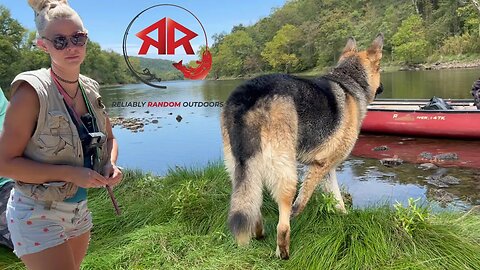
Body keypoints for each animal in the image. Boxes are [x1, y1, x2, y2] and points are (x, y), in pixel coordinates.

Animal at [220, 33, 382, 260]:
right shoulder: (320, 166)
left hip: (241, 167)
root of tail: (250, 95)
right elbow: (303, 200)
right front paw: (301, 213)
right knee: (282, 225)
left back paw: (259, 233)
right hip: (285, 172)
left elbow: (336, 197)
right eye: (380, 68)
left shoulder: (326, 168)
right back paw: (282, 252)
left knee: (251, 203)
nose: (382, 88)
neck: (349, 81)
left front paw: (344, 216)